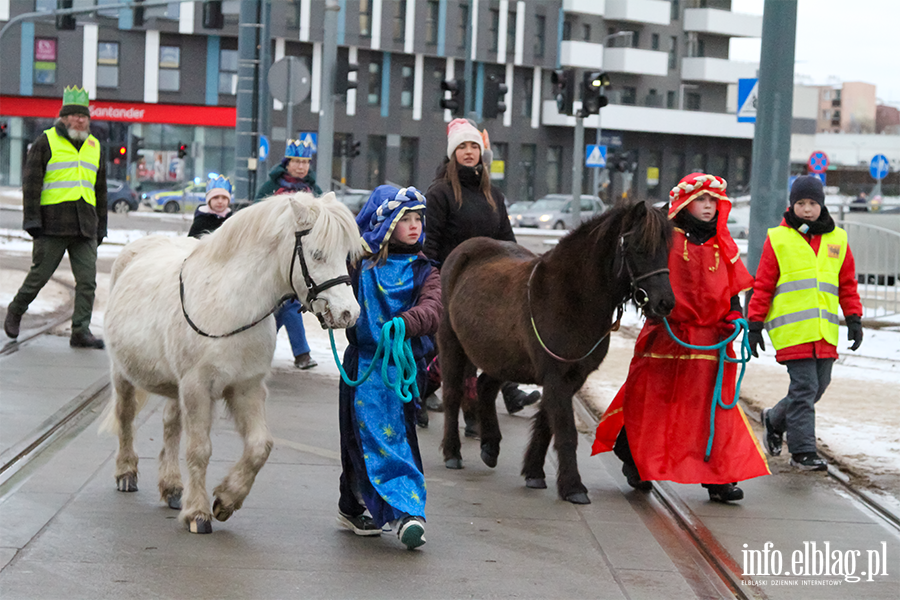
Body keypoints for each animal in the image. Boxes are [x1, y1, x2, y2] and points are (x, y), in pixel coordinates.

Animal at [99, 192, 362, 536]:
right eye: (317, 254)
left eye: (345, 255)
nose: (349, 314)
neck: (230, 305)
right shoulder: (197, 388)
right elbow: (199, 450)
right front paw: (198, 514)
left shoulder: (246, 389)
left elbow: (260, 446)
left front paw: (225, 500)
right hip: (124, 375)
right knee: (126, 416)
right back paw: (126, 473)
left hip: (175, 387)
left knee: (170, 426)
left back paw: (172, 487)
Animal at [436, 203, 676, 506]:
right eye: (638, 248)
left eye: (666, 249)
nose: (665, 303)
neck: (570, 296)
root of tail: (462, 250)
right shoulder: (556, 376)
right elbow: (565, 431)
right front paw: (573, 487)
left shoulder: (571, 378)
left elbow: (546, 424)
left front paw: (534, 473)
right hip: (452, 343)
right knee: (453, 394)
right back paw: (452, 453)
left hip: (502, 357)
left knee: (484, 387)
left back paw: (490, 446)